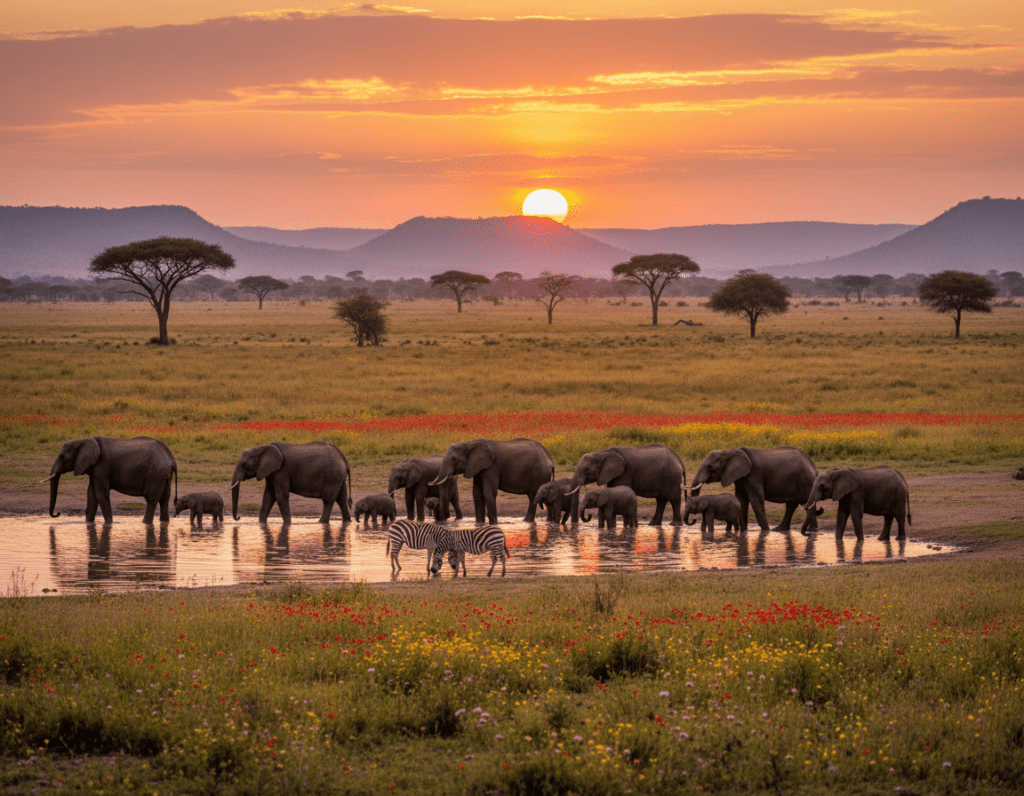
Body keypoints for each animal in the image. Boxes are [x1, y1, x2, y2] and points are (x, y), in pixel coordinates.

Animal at [45, 436, 178, 524]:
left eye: (62, 457)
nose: (57, 513)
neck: (84, 440)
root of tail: (172, 460)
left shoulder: (101, 467)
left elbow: (101, 493)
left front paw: (109, 524)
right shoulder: (94, 469)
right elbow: (92, 494)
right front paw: (88, 524)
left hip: (155, 475)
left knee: (151, 499)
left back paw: (145, 523)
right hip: (164, 476)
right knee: (164, 499)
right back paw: (164, 522)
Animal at [688, 446, 820, 534]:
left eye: (710, 467)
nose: (694, 519)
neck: (729, 451)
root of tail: (813, 465)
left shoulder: (754, 475)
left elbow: (756, 500)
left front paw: (765, 532)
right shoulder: (740, 477)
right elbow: (741, 500)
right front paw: (743, 532)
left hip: (805, 481)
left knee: (806, 504)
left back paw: (811, 531)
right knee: (792, 505)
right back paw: (781, 529)